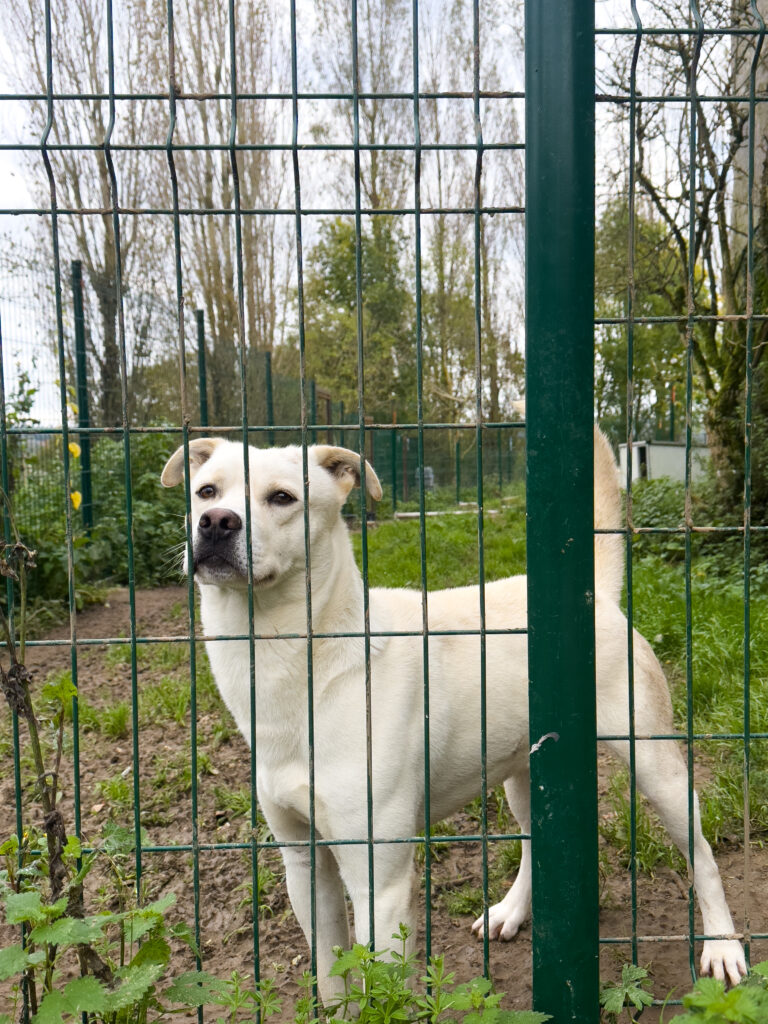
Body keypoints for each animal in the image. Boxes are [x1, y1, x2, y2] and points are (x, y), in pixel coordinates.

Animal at [162, 434, 745, 999]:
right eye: (206, 491)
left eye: (282, 498)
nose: (216, 523)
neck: (299, 661)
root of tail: (593, 595)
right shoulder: (305, 865)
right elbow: (331, 980)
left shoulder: (380, 881)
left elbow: (385, 993)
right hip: (521, 774)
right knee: (533, 842)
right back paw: (511, 911)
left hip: (655, 766)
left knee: (703, 854)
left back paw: (723, 947)